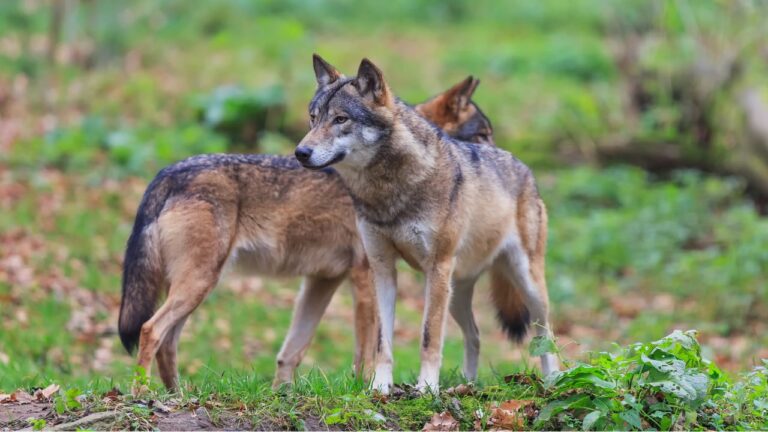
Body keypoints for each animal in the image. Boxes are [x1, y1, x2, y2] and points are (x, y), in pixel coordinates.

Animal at [117, 77, 494, 392]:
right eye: (483, 135)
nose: (499, 160)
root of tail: (167, 172)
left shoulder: (321, 281)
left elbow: (291, 352)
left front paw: (281, 394)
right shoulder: (363, 275)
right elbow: (365, 351)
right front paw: (365, 389)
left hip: (195, 286)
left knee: (167, 342)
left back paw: (176, 397)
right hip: (199, 283)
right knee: (150, 330)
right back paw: (143, 398)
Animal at [295, 55, 558, 394]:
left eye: (341, 119)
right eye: (313, 118)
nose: (301, 152)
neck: (387, 192)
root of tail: (521, 163)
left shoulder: (437, 266)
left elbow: (429, 336)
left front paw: (427, 389)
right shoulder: (382, 268)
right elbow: (382, 340)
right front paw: (380, 387)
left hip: (524, 284)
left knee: (545, 334)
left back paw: (554, 380)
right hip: (455, 293)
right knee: (475, 335)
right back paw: (467, 384)